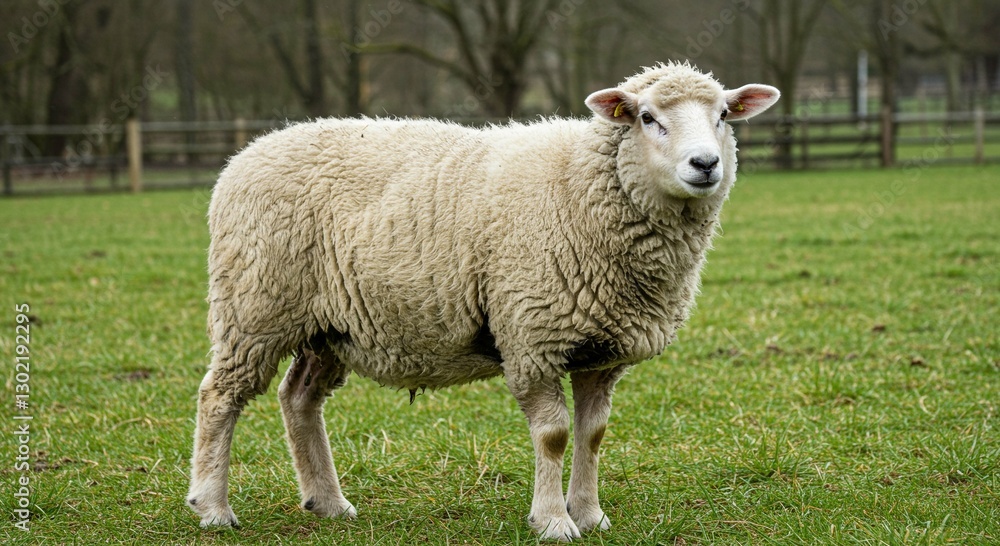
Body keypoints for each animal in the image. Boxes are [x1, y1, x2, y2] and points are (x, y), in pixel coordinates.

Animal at [187, 61, 779, 541]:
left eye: (724, 115)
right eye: (648, 117)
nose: (705, 164)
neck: (580, 187)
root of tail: (244, 155)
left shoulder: (602, 350)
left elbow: (592, 435)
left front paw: (590, 515)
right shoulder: (532, 336)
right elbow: (554, 436)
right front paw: (554, 522)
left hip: (329, 326)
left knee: (299, 399)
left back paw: (328, 502)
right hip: (255, 305)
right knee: (220, 396)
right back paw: (213, 507)